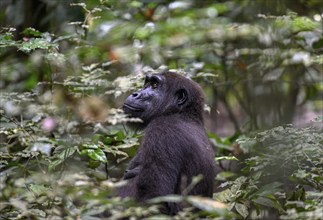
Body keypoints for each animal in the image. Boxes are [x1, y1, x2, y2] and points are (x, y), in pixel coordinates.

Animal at [117, 72, 216, 215]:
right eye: (146, 84)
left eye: (154, 85)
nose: (135, 93)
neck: (180, 113)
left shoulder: (162, 132)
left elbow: (155, 196)